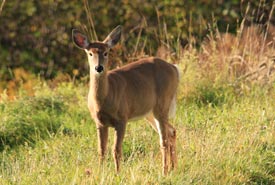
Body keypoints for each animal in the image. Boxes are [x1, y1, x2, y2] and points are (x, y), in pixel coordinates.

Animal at [72, 24, 180, 175]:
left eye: (106, 53)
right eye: (90, 53)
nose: (98, 67)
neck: (103, 100)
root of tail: (175, 68)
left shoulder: (122, 118)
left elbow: (116, 150)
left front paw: (118, 173)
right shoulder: (99, 122)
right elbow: (101, 150)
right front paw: (101, 172)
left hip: (162, 103)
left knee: (163, 140)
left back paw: (164, 171)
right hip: (149, 112)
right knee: (171, 131)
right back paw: (173, 168)